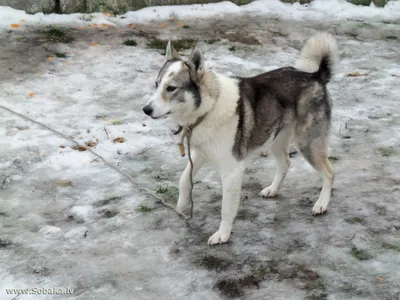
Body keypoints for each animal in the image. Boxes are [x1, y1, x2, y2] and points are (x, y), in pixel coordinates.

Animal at [143, 31, 338, 245]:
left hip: (307, 143)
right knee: (286, 163)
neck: (208, 109)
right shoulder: (200, 153)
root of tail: (314, 76)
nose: (146, 109)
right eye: (156, 85)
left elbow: (226, 209)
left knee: (329, 173)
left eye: (171, 88)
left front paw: (223, 234)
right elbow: (184, 179)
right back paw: (273, 189)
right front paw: (182, 204)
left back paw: (322, 203)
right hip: (276, 139)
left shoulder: (232, 171)